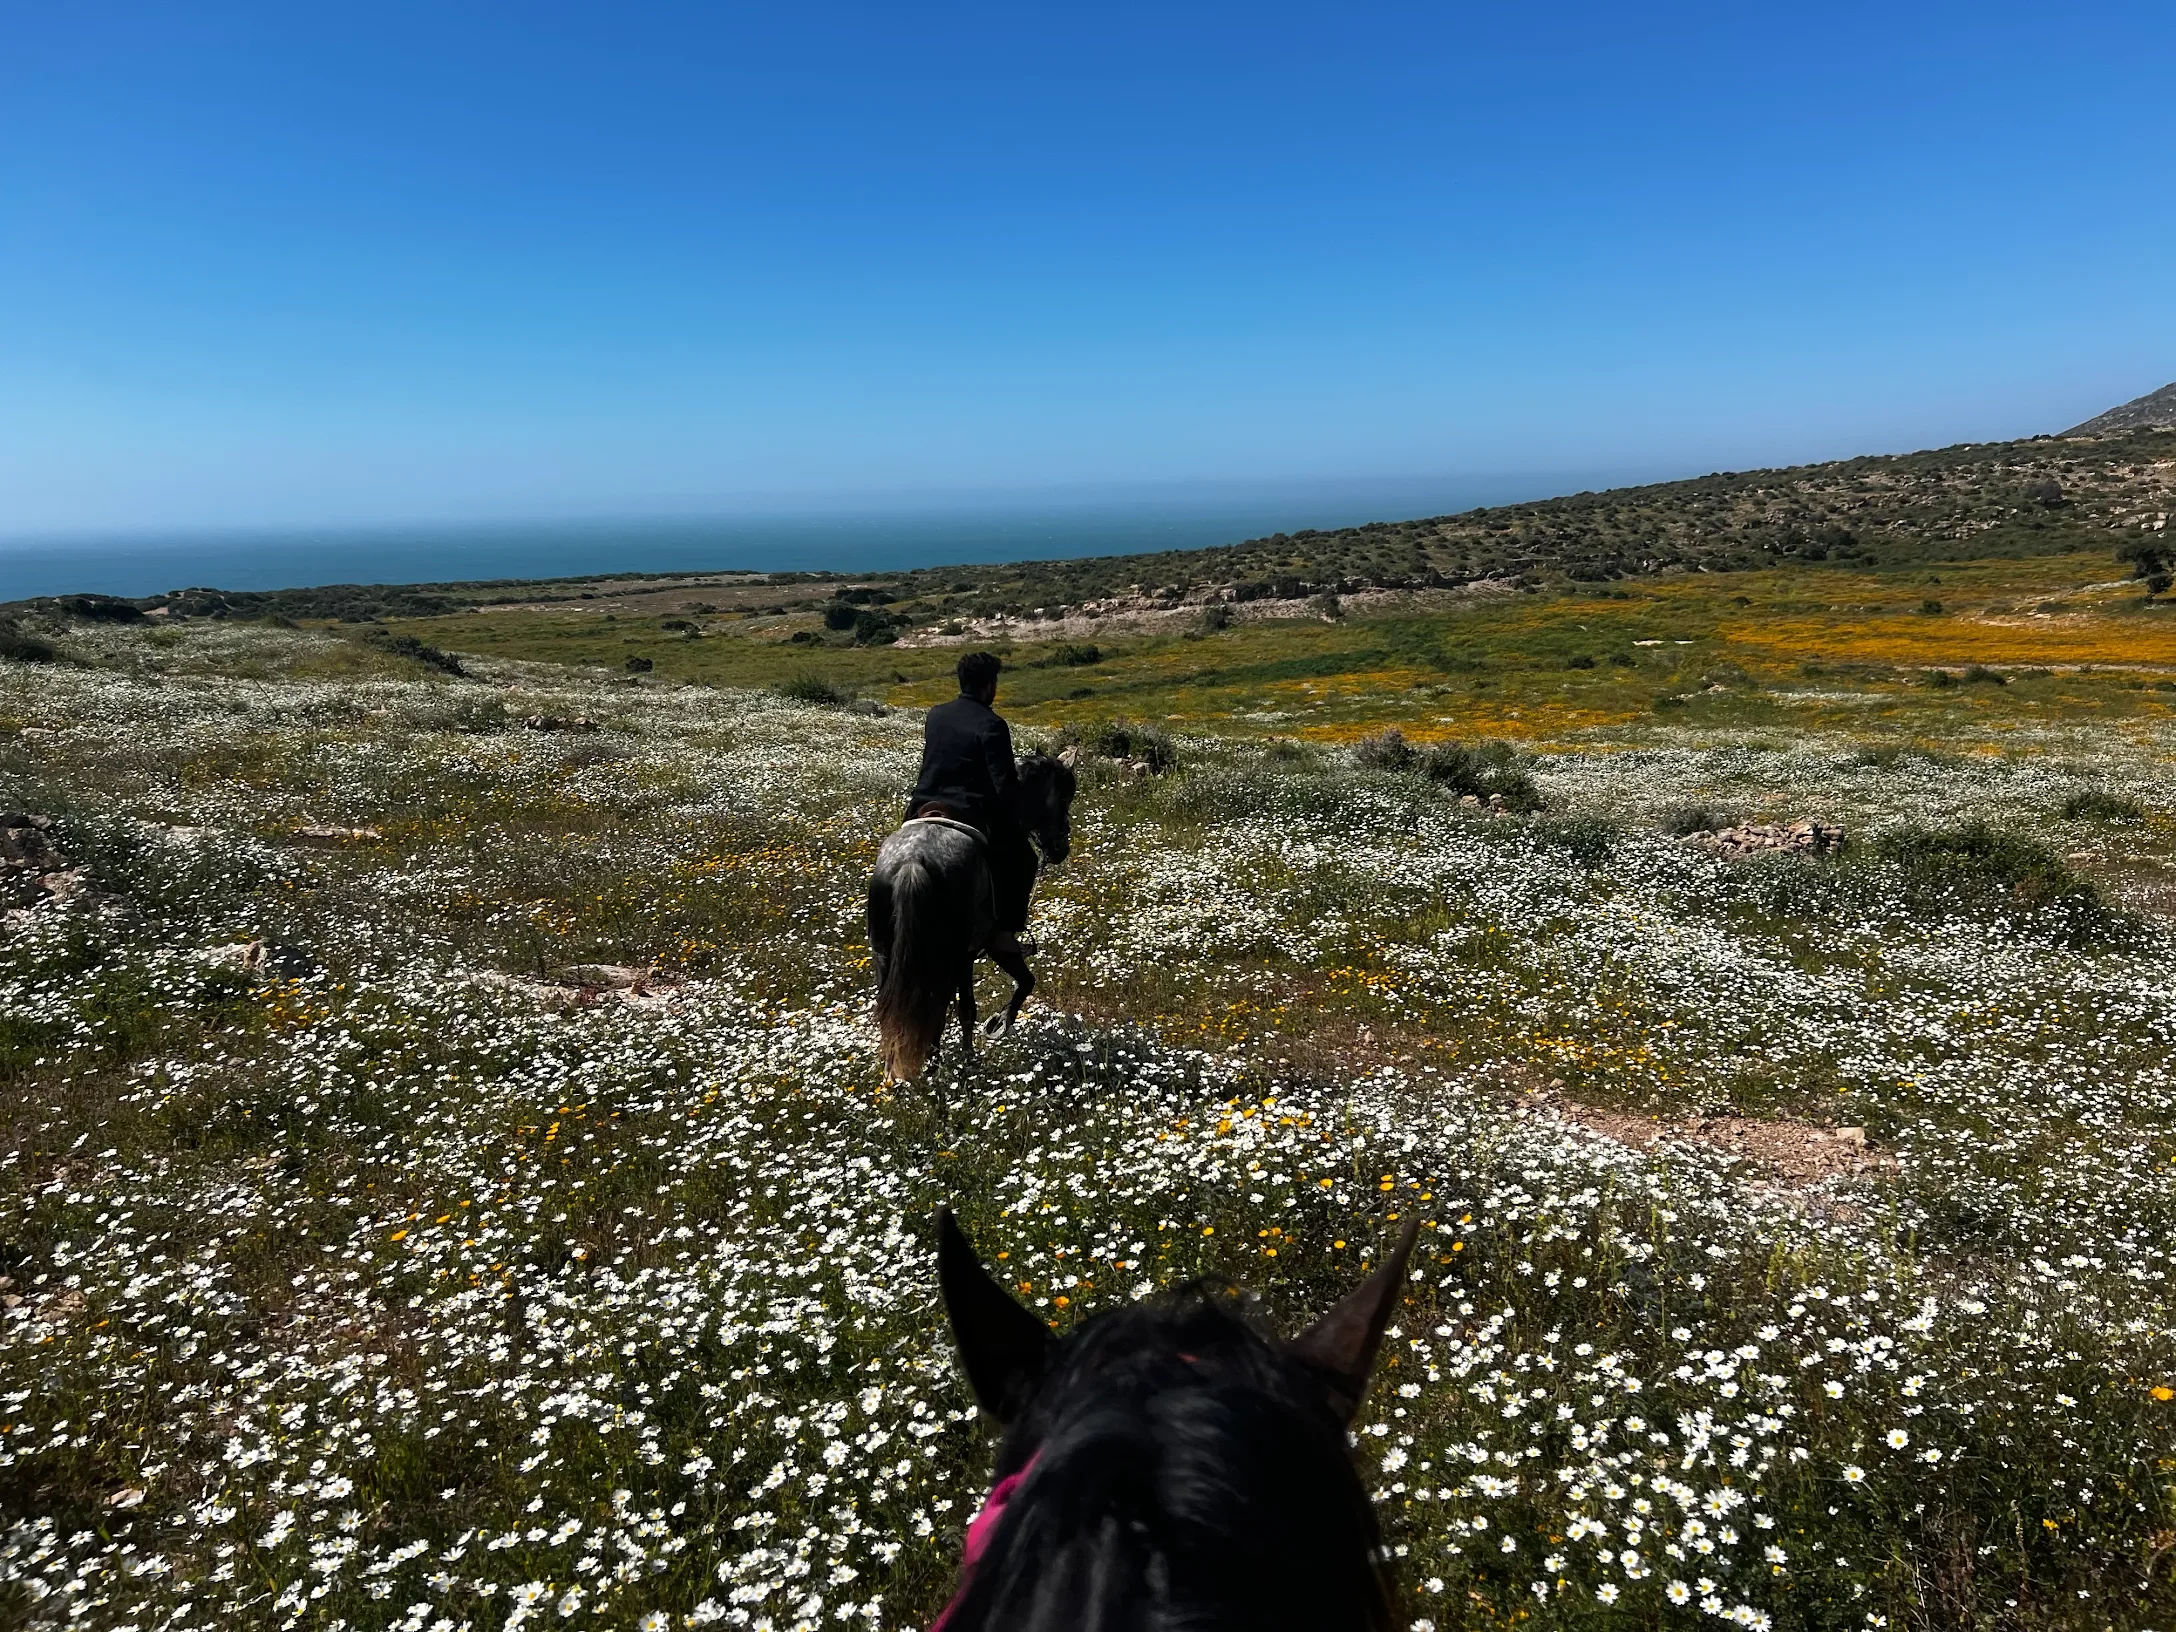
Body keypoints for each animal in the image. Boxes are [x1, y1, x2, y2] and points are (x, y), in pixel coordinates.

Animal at [868, 750, 1078, 1080]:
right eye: (1065, 796)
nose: (1060, 849)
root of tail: (913, 862)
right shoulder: (985, 946)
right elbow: (1013, 987)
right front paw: (994, 1030)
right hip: (950, 957)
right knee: (935, 1014)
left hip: (885, 953)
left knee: (894, 1012)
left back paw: (897, 1078)